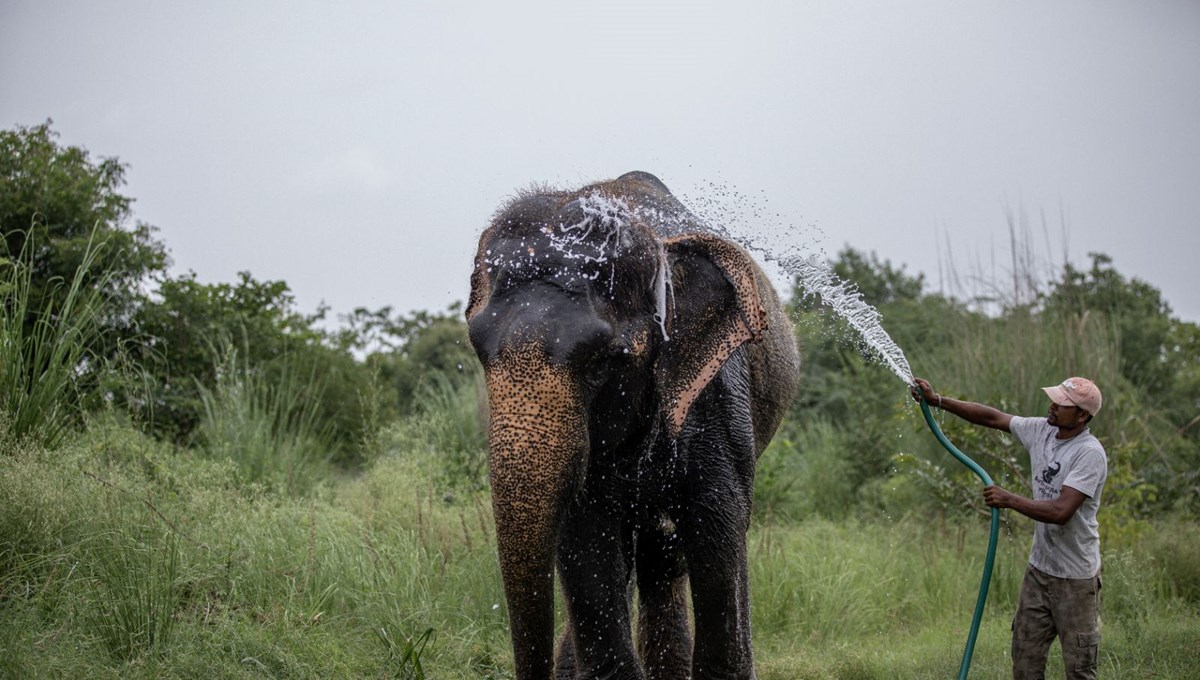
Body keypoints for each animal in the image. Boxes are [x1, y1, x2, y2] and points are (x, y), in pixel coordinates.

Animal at [465, 171, 796, 680]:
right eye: (478, 350)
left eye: (604, 361)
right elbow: (586, 542)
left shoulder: (717, 394)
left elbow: (718, 527)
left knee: (667, 557)